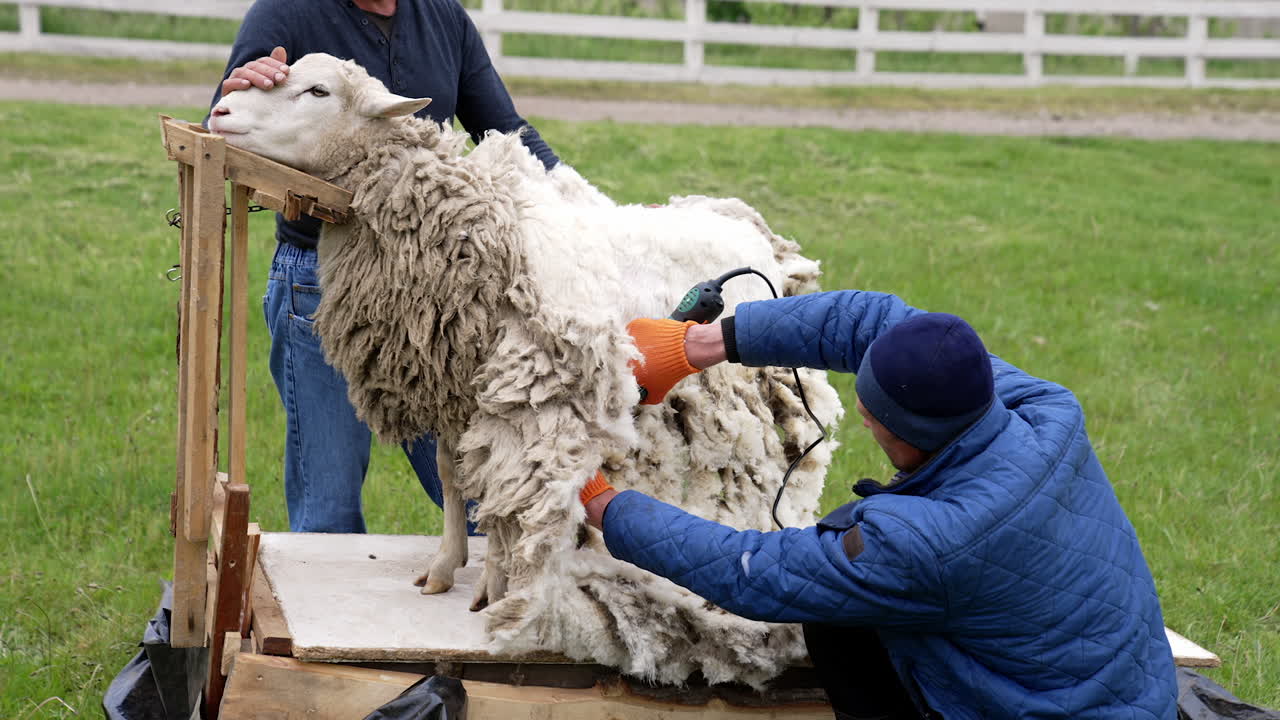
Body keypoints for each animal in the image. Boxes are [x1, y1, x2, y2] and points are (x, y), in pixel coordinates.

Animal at [209, 53, 844, 687]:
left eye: (318, 91)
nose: (220, 111)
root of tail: (758, 237)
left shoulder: (510, 397)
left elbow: (495, 483)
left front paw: (495, 585)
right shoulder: (455, 389)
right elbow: (455, 475)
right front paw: (446, 566)